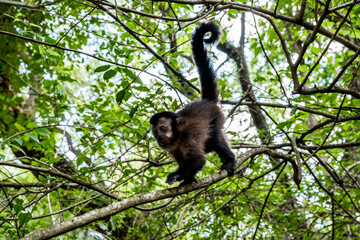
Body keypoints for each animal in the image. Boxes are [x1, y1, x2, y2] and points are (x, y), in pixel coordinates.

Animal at [150, 21, 236, 186]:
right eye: (155, 132)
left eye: (162, 128)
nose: (158, 136)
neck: (177, 136)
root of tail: (206, 101)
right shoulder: (172, 148)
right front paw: (188, 180)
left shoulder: (188, 136)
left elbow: (198, 159)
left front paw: (175, 175)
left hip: (216, 116)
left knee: (215, 138)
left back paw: (230, 160)